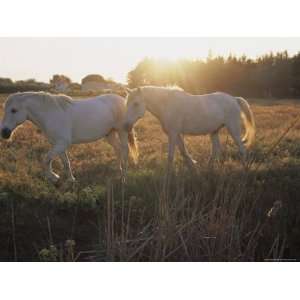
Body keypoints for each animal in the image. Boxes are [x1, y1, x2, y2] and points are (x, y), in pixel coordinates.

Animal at [0, 91, 138, 182]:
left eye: (13, 110)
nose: (4, 132)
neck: (50, 113)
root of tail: (123, 100)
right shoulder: (58, 144)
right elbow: (65, 162)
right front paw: (71, 179)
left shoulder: (62, 143)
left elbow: (46, 159)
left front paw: (53, 177)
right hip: (110, 134)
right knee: (118, 149)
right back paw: (118, 169)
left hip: (122, 131)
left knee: (125, 150)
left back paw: (124, 176)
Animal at [123, 85, 254, 172]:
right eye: (126, 104)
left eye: (136, 103)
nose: (126, 125)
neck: (167, 105)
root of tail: (234, 99)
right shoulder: (176, 134)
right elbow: (183, 151)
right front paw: (193, 167)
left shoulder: (173, 133)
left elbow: (171, 156)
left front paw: (169, 174)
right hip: (214, 131)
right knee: (216, 151)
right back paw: (209, 168)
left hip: (233, 129)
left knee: (242, 149)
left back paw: (245, 169)